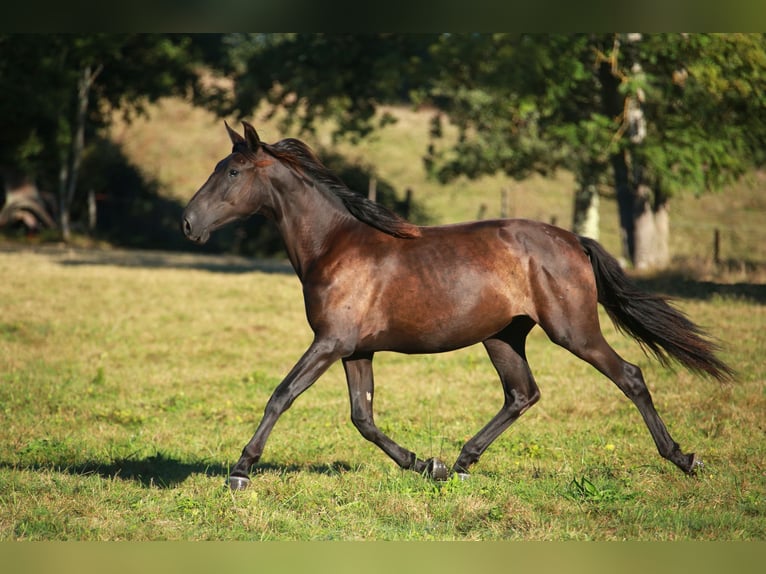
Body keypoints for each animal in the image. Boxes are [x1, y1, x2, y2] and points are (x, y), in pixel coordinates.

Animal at [183, 120, 736, 490]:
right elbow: (363, 417)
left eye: (232, 172)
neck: (334, 245)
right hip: (503, 336)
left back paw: (683, 458)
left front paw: (240, 471)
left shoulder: (330, 342)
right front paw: (426, 464)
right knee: (522, 394)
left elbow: (282, 395)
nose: (188, 223)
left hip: (573, 331)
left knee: (629, 377)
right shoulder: (355, 350)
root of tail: (573, 240)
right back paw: (462, 462)